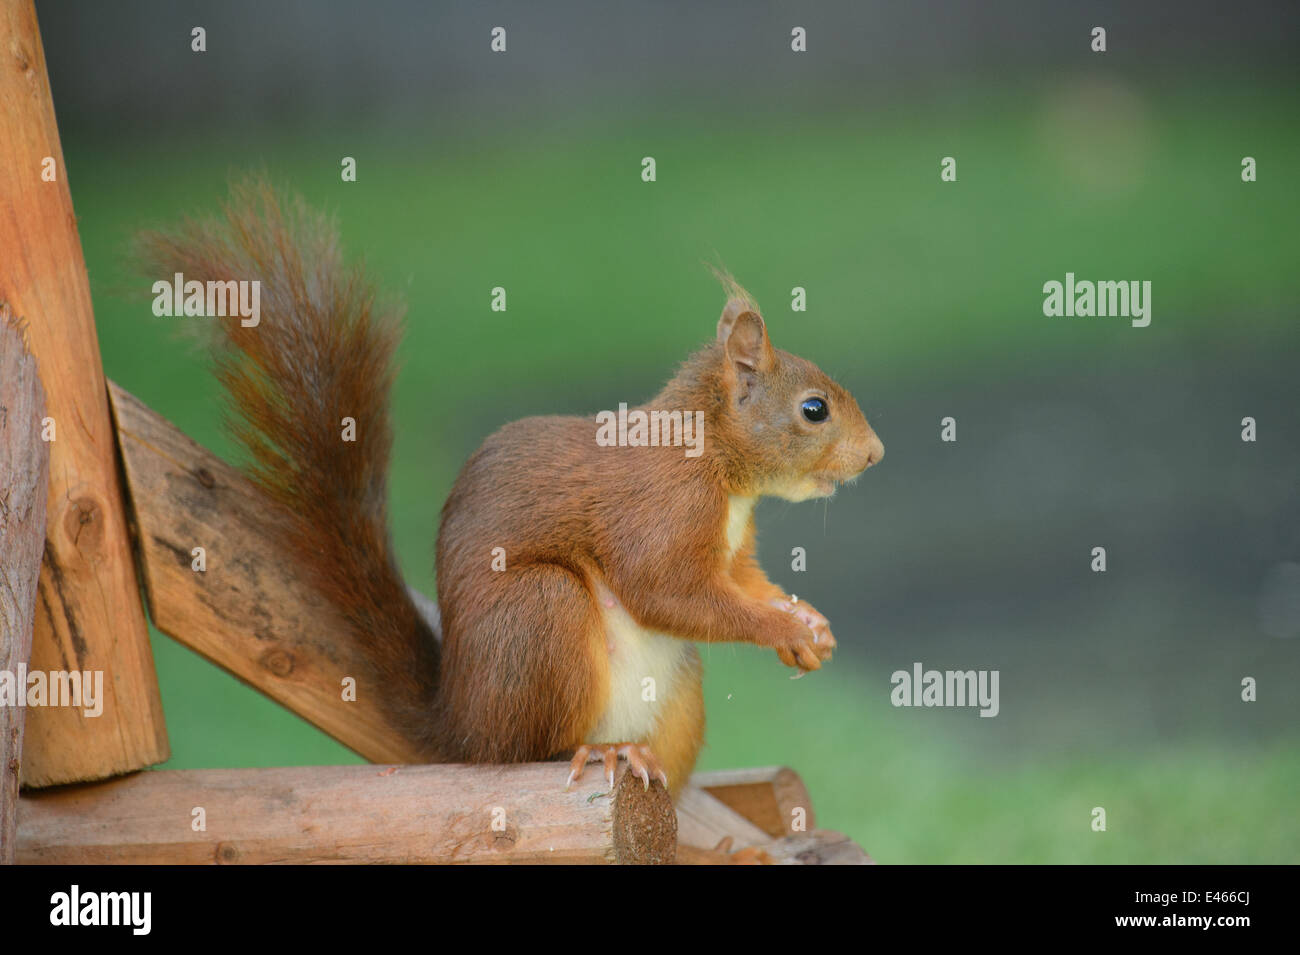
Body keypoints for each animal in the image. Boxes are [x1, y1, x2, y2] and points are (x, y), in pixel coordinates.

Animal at [139, 179, 883, 800]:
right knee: (524, 752)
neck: (720, 471)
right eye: (814, 409)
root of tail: (460, 725)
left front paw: (807, 623)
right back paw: (597, 753)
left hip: (674, 691)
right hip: (538, 616)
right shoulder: (660, 507)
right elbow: (665, 589)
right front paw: (781, 624)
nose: (876, 454)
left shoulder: (731, 547)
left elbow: (741, 580)